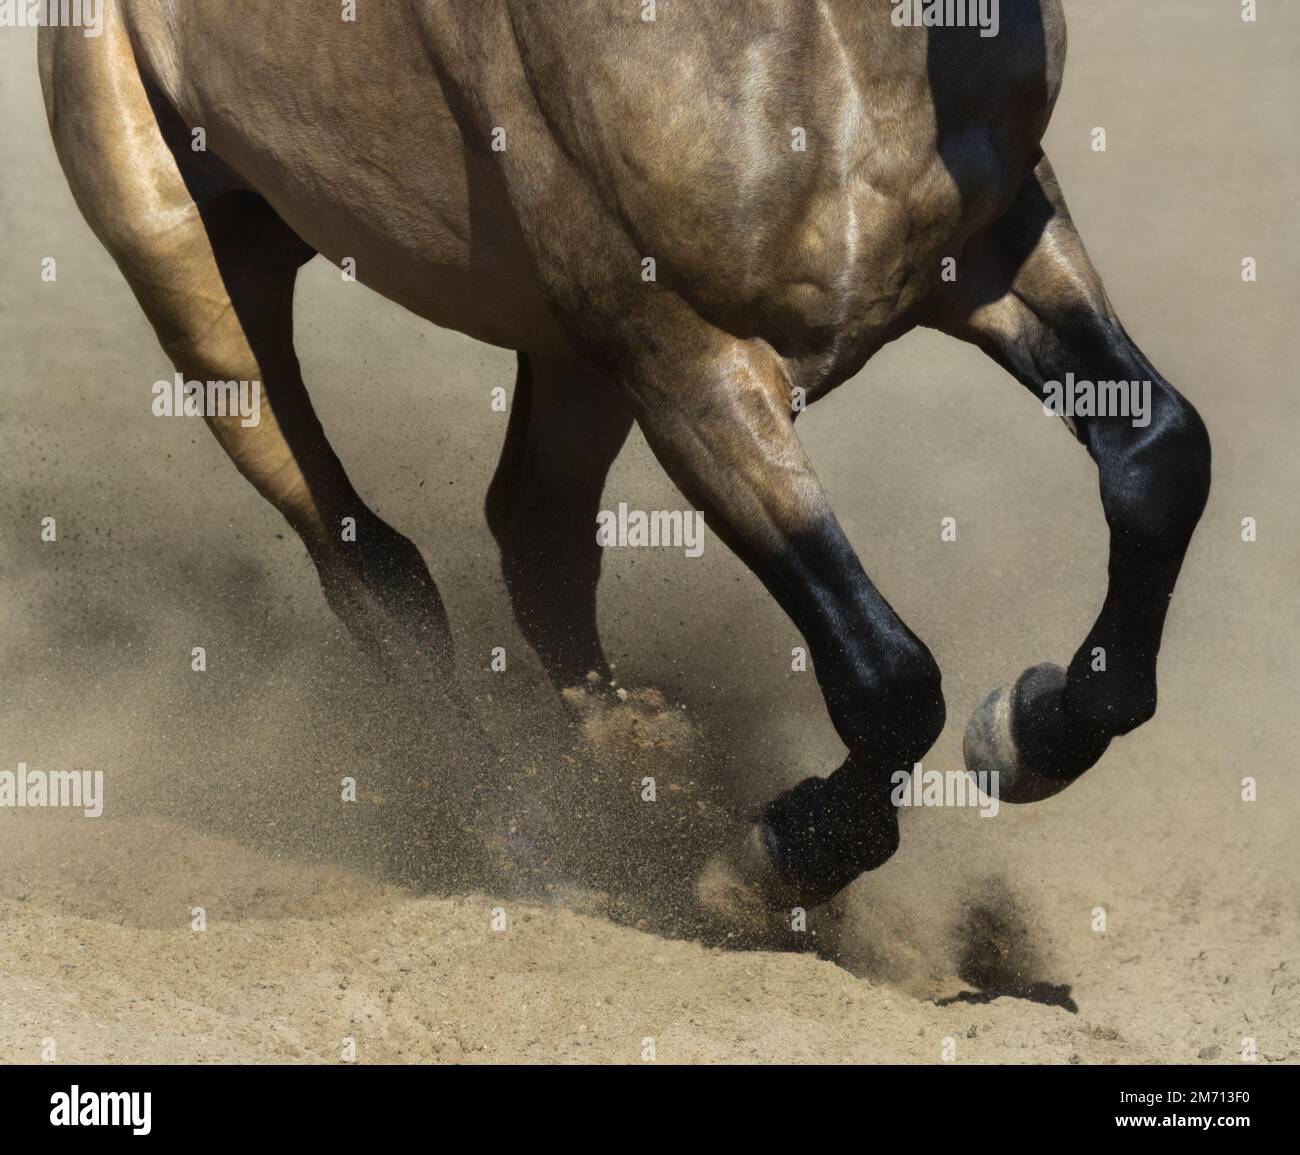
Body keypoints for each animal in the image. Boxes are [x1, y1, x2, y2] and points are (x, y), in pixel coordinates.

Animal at [38, 2, 1206, 920]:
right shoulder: (683, 360)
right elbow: (885, 677)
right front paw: (771, 863)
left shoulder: (997, 242)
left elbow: (1161, 459)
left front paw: (1028, 729)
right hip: (196, 276)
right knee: (373, 571)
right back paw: (537, 862)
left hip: (565, 357)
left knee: (535, 536)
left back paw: (633, 755)